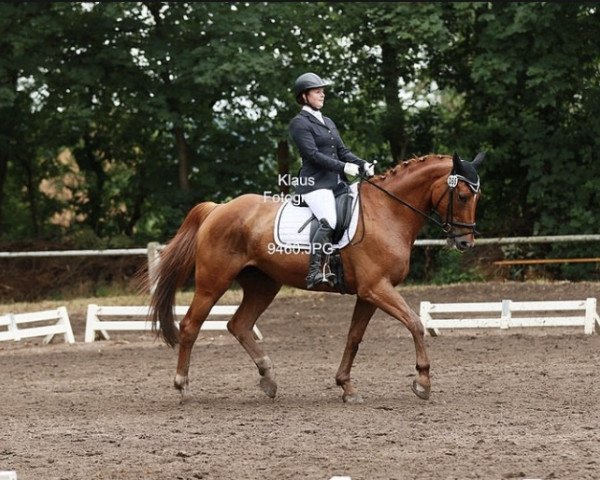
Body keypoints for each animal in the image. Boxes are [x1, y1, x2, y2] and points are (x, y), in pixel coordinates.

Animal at [148, 152, 486, 404]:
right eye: (463, 195)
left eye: (477, 196)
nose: (465, 242)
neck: (387, 212)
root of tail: (218, 208)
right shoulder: (377, 288)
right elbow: (415, 323)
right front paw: (423, 382)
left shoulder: (368, 293)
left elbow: (354, 337)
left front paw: (346, 387)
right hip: (213, 282)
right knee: (190, 326)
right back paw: (182, 385)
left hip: (263, 285)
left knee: (239, 325)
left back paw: (268, 379)